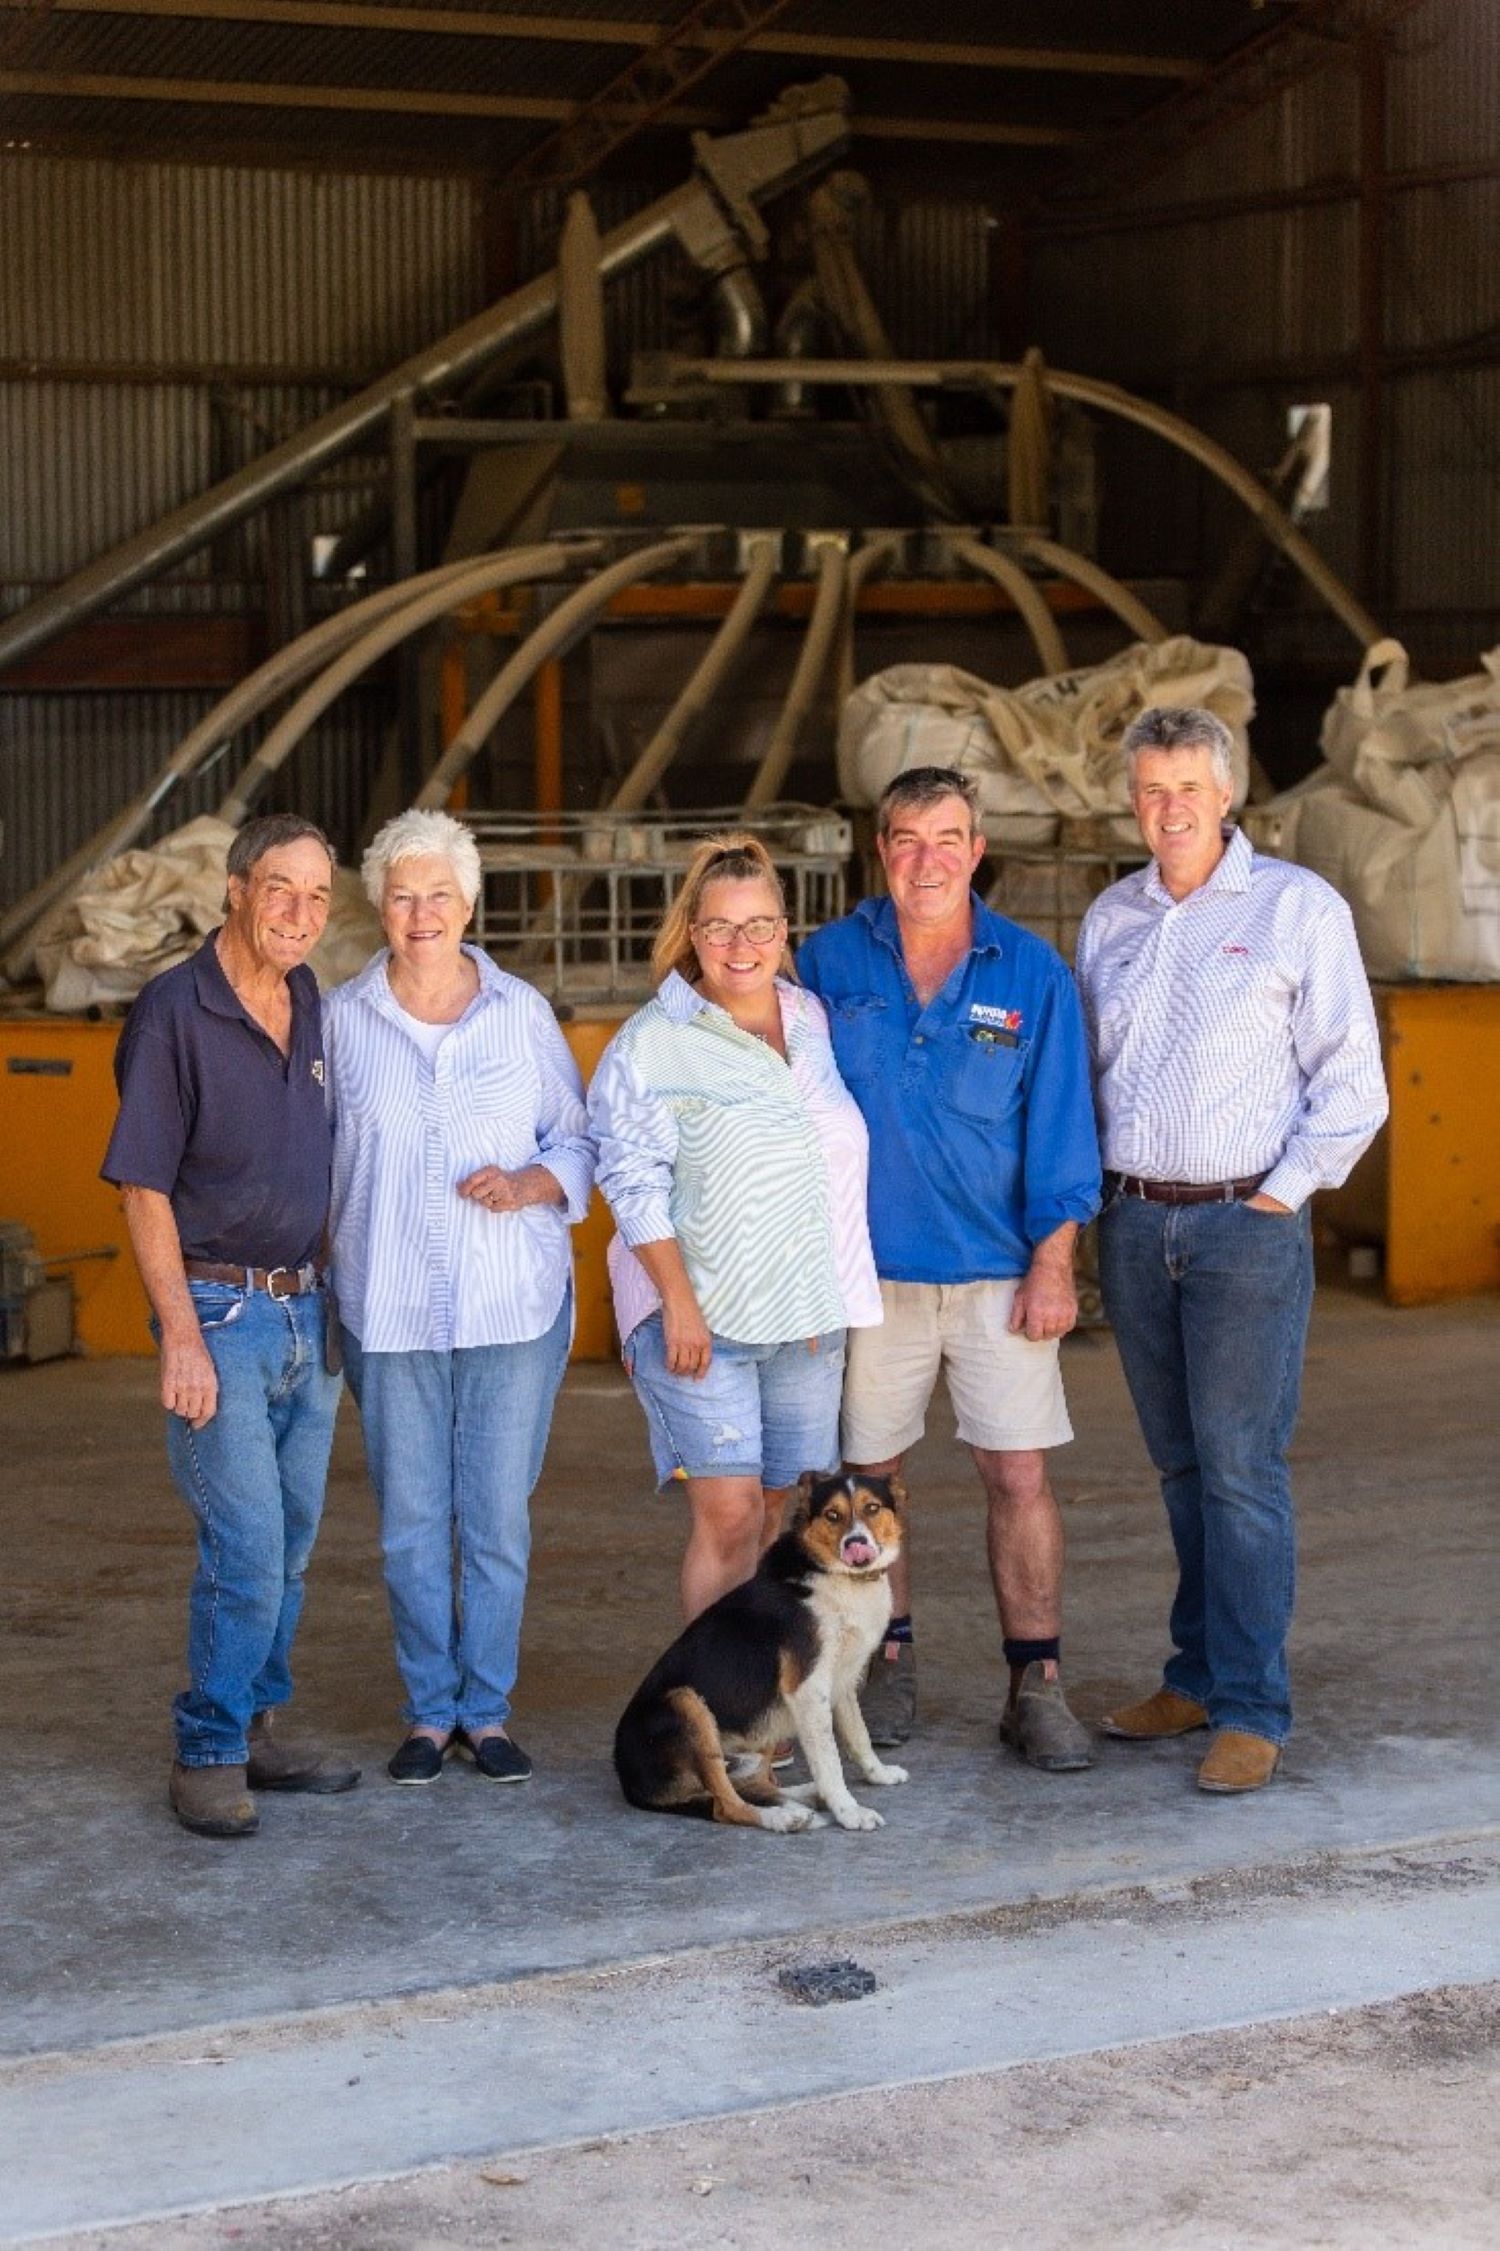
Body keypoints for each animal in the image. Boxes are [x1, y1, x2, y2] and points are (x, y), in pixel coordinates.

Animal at [612, 1467, 905, 1836]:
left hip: (759, 1733)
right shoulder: (807, 1688)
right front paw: (849, 1811)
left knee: (753, 1785)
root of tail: (623, 1775)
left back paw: (805, 1799)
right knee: (726, 1804)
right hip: (685, 1703)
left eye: (872, 1508)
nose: (856, 1545)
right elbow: (829, 1759)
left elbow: (858, 1734)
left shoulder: (843, 1680)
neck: (836, 1575)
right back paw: (784, 1817)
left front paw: (877, 1774)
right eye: (832, 1515)